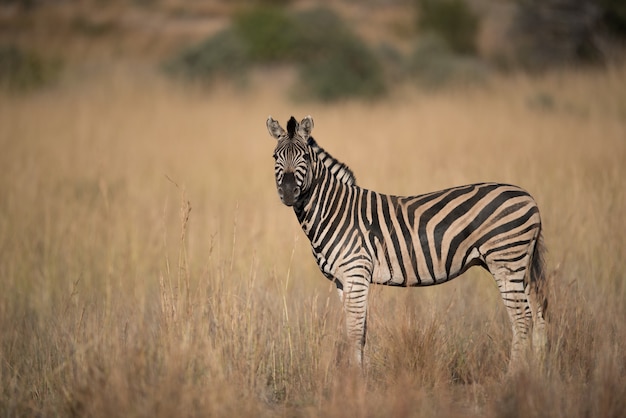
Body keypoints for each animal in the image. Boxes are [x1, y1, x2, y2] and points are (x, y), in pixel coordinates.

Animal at [264, 115, 544, 372]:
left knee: (522, 319)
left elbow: (355, 332)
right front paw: (358, 378)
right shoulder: (343, 281)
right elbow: (358, 332)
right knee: (538, 313)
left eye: (304, 156)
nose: (288, 193)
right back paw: (537, 375)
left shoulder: (356, 274)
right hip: (521, 265)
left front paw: (355, 381)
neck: (334, 209)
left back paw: (513, 378)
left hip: (505, 260)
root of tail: (530, 198)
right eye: (275, 156)